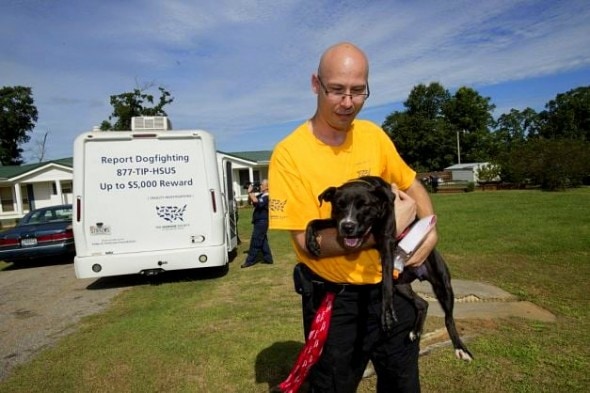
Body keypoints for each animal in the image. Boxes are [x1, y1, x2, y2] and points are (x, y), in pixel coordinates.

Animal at [308, 176, 474, 360]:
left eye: (364, 205)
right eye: (339, 205)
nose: (348, 226)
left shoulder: (387, 240)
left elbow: (385, 282)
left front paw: (387, 313)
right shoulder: (336, 222)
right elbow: (314, 221)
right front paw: (311, 242)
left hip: (442, 285)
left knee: (449, 318)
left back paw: (460, 348)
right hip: (401, 286)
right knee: (422, 303)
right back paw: (415, 331)